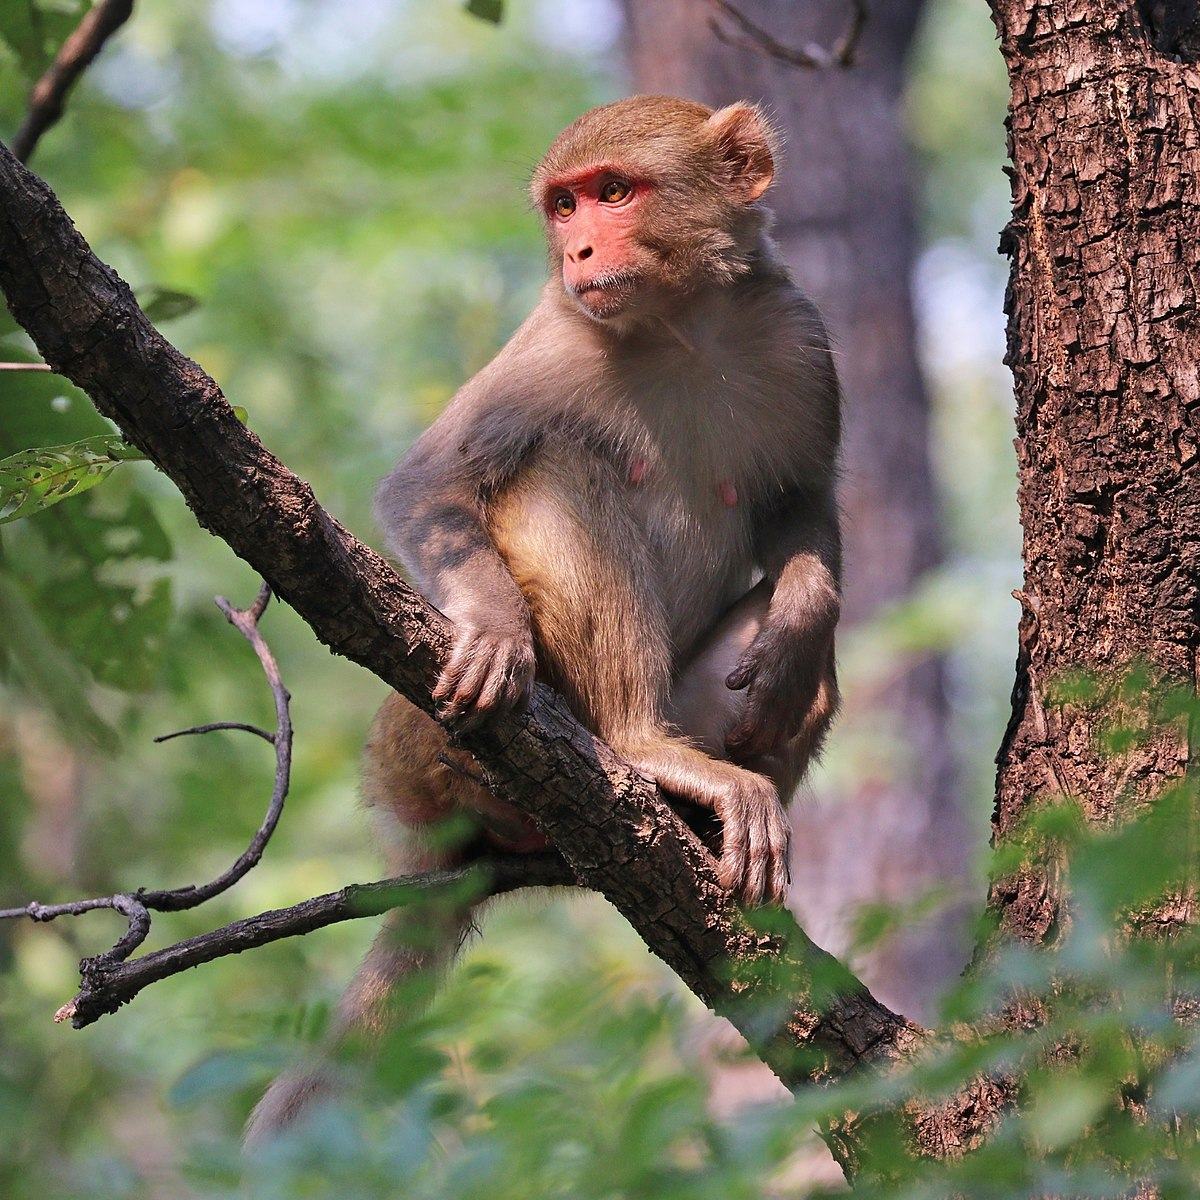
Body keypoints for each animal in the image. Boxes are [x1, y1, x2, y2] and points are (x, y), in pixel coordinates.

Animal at [246, 96, 835, 1142]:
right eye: (564, 206)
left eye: (614, 191)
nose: (579, 251)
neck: (681, 327)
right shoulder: (551, 346)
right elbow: (430, 485)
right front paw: (492, 632)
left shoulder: (797, 337)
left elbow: (804, 502)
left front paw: (801, 616)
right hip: (417, 752)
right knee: (561, 469)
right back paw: (641, 746)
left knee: (806, 675)